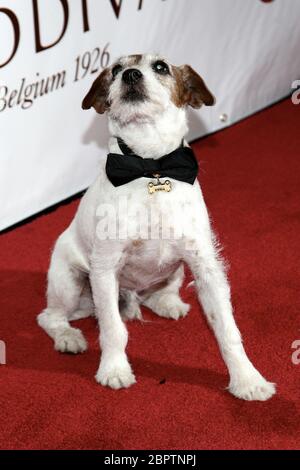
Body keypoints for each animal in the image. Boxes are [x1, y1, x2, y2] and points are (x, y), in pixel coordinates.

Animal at [37, 54, 274, 400]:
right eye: (115, 70)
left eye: (161, 67)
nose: (131, 75)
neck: (153, 169)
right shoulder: (105, 269)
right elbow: (113, 329)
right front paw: (114, 370)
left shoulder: (206, 267)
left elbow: (227, 331)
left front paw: (247, 380)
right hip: (70, 283)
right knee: (50, 317)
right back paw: (69, 337)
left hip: (174, 270)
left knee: (158, 291)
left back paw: (167, 302)